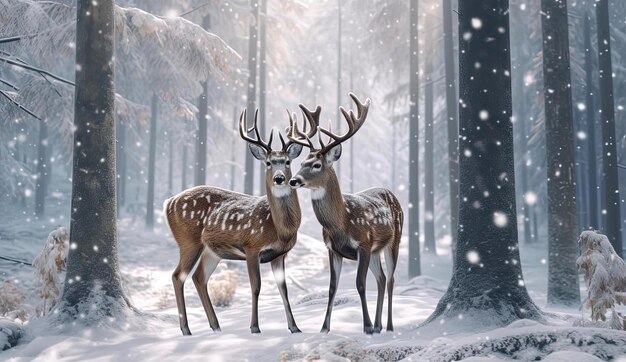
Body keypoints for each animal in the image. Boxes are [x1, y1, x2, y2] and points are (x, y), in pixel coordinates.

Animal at [162, 108, 316, 336]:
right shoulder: (251, 246)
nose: (280, 178)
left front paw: (295, 327)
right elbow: (256, 286)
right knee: (177, 275)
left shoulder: (280, 255)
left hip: (212, 250)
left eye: (288, 161)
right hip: (188, 241)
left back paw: (216, 327)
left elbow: (284, 289)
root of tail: (169, 202)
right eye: (268, 163)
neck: (280, 230)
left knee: (199, 277)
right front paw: (255, 327)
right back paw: (186, 329)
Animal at [286, 94, 402, 334]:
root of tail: (391, 193)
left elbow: (360, 284)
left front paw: (366, 326)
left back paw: (387, 326)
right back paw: (379, 325)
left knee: (391, 279)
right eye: (301, 162)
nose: (293, 180)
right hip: (376, 250)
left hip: (394, 241)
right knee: (381, 278)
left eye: (317, 165)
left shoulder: (364, 244)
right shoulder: (332, 249)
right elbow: (332, 286)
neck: (341, 224)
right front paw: (324, 328)